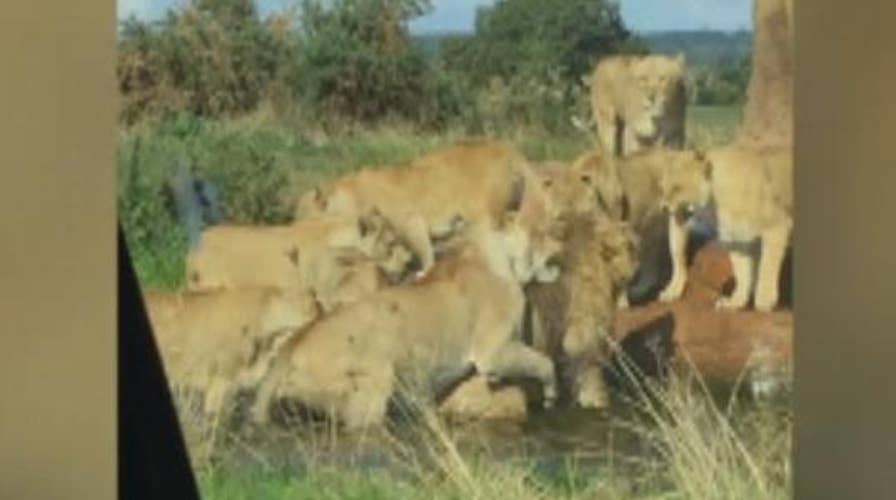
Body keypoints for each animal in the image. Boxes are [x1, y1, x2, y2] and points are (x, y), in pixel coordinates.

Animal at [248, 211, 564, 430]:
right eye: (540, 233)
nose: (560, 242)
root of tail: (293, 345)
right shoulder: (493, 351)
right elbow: (544, 362)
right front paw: (551, 397)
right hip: (374, 387)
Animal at [656, 143, 792, 310]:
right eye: (662, 189)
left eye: (677, 187)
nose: (663, 208)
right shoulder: (737, 240)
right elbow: (742, 273)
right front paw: (736, 302)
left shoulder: (776, 225)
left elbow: (767, 265)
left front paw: (764, 300)